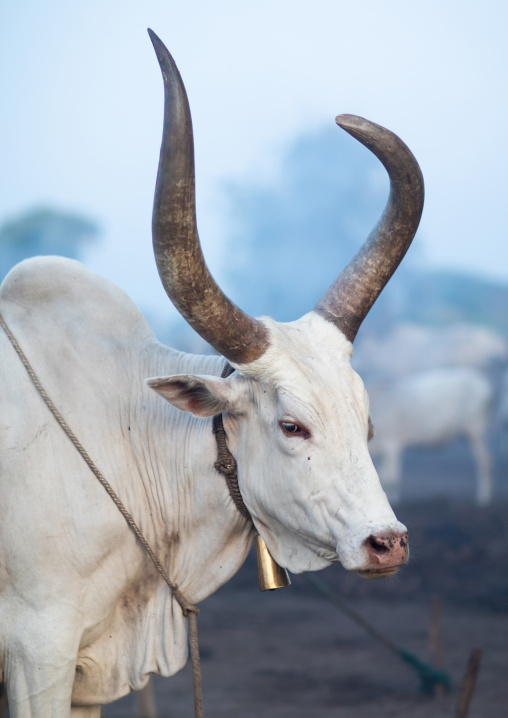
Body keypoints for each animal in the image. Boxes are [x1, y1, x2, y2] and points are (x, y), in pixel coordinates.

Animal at [368, 367, 493, 504]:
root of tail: (484, 385)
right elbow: (382, 477)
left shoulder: (392, 444)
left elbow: (391, 478)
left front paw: (393, 500)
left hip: (477, 431)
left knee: (485, 462)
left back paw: (484, 497)